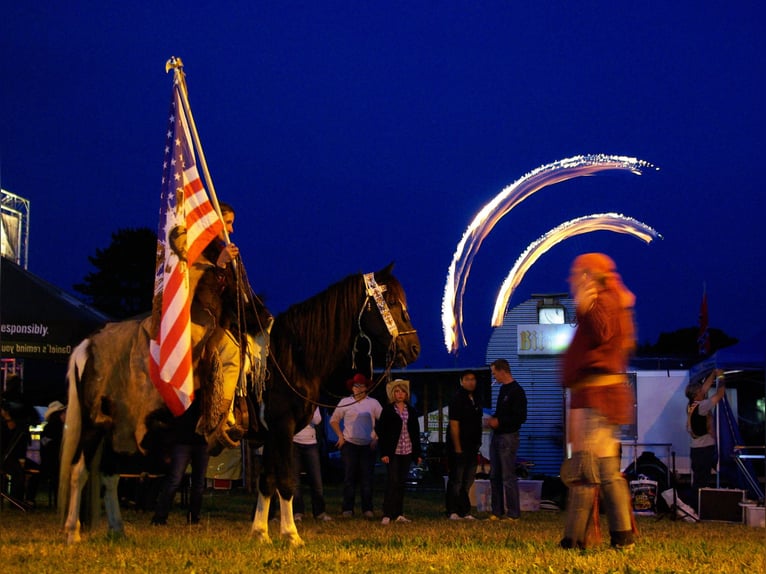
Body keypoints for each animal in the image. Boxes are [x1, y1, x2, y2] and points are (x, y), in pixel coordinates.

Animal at [250, 264, 420, 548]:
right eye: (394, 303)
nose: (415, 348)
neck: (290, 358)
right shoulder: (282, 427)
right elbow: (285, 481)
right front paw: (291, 534)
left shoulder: (272, 432)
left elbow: (267, 480)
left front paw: (260, 534)